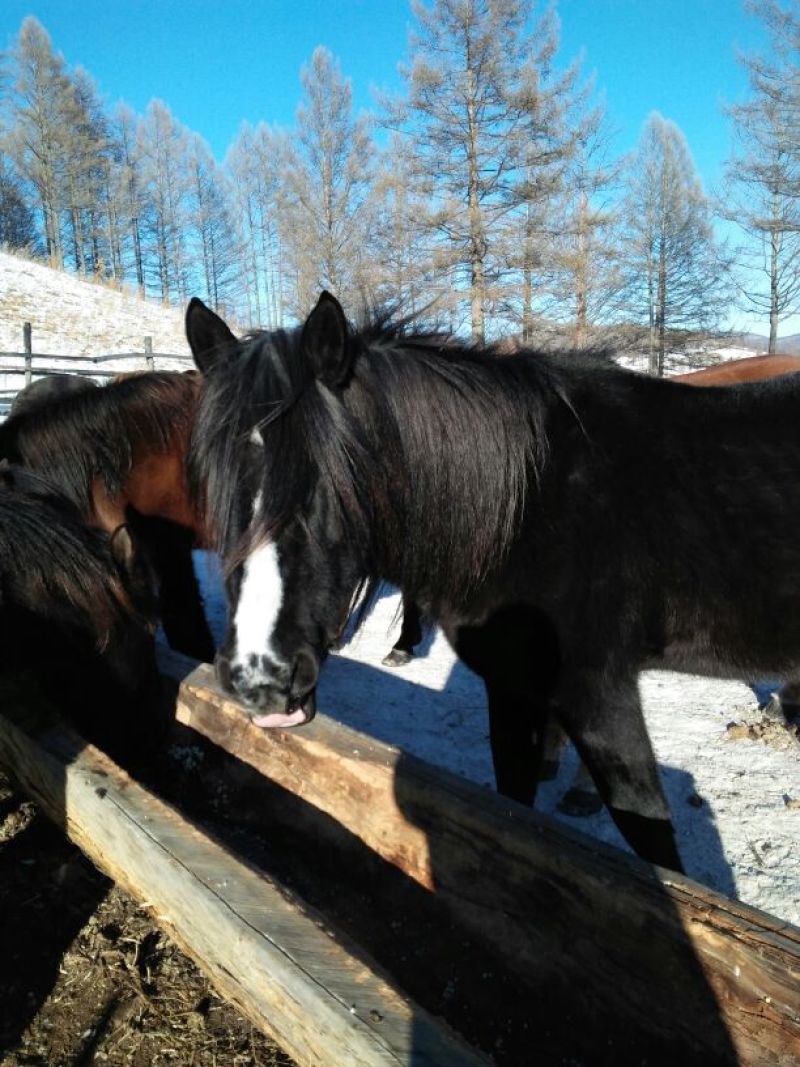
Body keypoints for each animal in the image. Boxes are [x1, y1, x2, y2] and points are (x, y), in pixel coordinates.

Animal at [185, 292, 800, 873]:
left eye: (328, 487)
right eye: (220, 489)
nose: (259, 679)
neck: (525, 504)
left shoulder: (599, 696)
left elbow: (655, 852)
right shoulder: (513, 688)